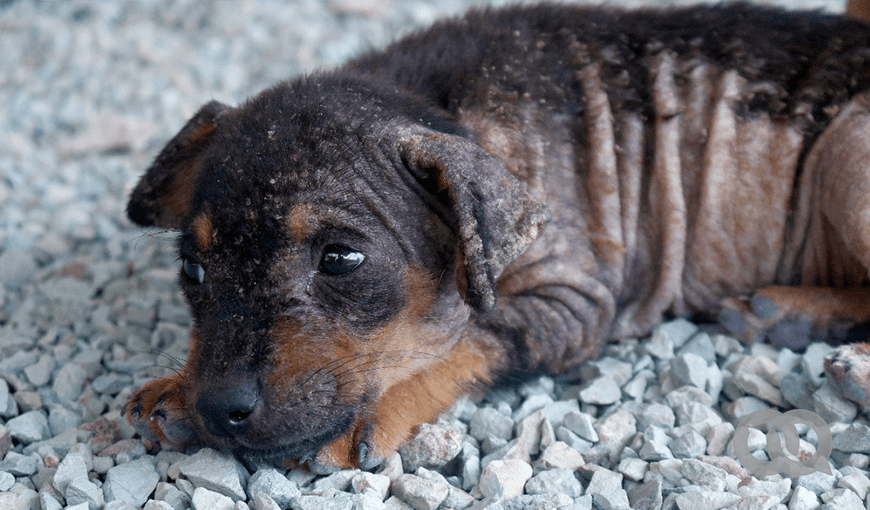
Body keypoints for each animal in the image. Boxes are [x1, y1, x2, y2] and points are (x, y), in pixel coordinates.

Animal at [124, 1, 870, 472]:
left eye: (340, 259)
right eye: (193, 272)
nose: (219, 407)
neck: (438, 107)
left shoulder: (571, 302)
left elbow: (470, 339)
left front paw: (377, 408)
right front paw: (176, 387)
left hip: (847, 155)